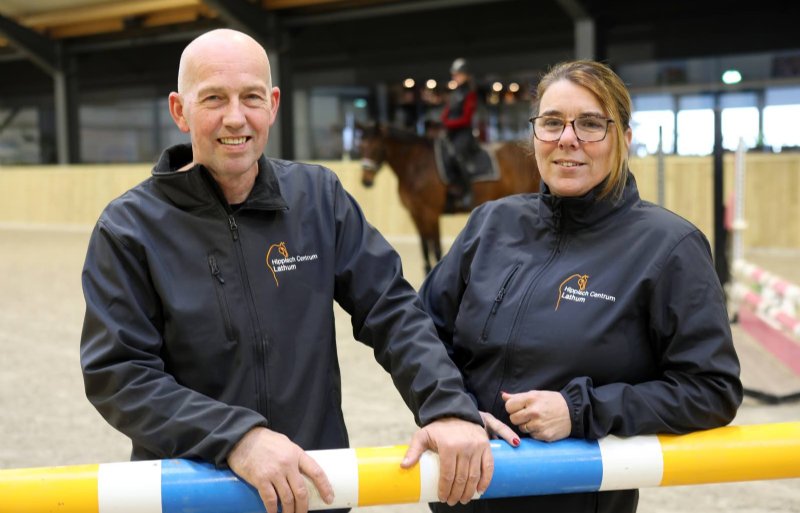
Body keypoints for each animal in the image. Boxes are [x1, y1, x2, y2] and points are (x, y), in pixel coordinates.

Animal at [360, 125, 540, 272]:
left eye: (376, 148)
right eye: (361, 146)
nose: (366, 181)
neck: (417, 166)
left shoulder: (431, 213)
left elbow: (436, 247)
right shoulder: (416, 214)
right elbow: (425, 247)